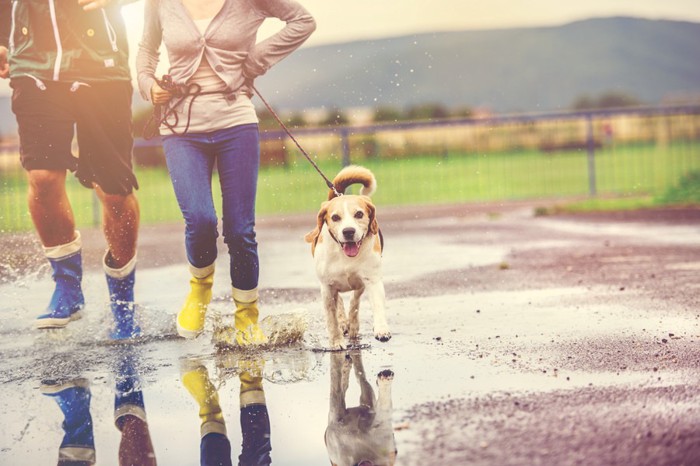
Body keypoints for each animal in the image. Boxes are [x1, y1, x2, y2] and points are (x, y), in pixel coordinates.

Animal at [304, 165, 392, 350]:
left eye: (359, 214)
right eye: (335, 217)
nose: (348, 231)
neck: (345, 255)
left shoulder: (372, 280)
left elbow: (375, 305)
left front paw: (381, 330)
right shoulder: (327, 288)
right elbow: (332, 319)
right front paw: (336, 341)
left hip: (360, 285)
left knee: (354, 302)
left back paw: (352, 326)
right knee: (340, 304)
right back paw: (344, 323)